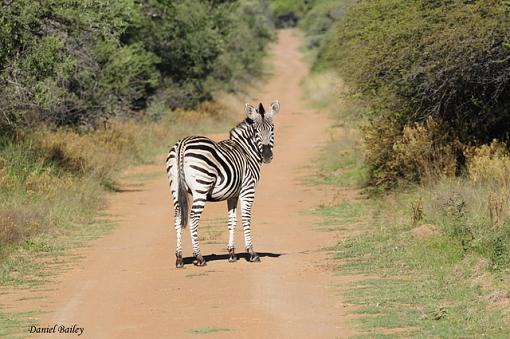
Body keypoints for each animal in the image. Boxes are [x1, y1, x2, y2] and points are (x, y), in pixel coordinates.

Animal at [166, 101, 278, 268]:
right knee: (193, 219)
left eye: (272, 128)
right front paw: (252, 253)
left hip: (175, 188)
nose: (267, 156)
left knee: (178, 217)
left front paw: (231, 253)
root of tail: (183, 144)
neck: (246, 151)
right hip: (201, 188)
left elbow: (232, 220)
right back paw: (199, 257)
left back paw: (179, 258)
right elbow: (246, 218)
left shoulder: (233, 195)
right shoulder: (248, 190)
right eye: (256, 131)